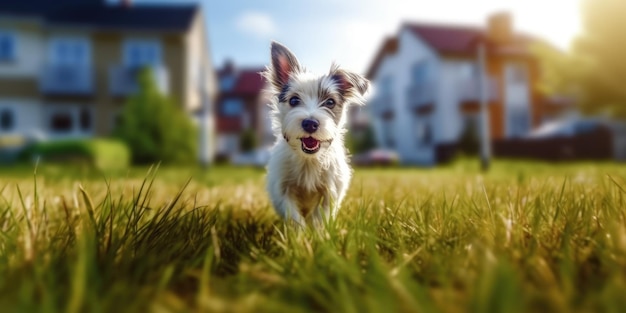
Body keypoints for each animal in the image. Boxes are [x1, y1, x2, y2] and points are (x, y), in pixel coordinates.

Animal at [260, 42, 368, 227]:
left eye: (330, 102)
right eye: (294, 100)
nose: (310, 123)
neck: (308, 160)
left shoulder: (331, 192)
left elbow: (320, 217)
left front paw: (318, 233)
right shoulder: (283, 190)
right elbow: (294, 217)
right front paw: (300, 234)